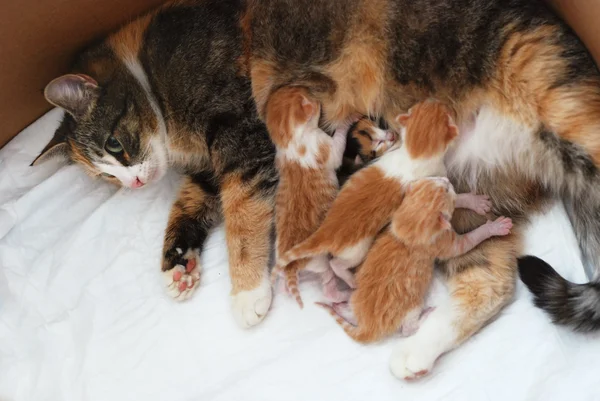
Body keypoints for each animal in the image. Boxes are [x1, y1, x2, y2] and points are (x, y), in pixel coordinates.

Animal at [266, 86, 352, 306]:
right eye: (309, 97)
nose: (317, 100)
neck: (290, 143)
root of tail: (290, 267)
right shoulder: (323, 144)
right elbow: (338, 145)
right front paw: (347, 121)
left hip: (281, 266)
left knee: (283, 282)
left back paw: (285, 288)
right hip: (321, 263)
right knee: (329, 283)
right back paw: (344, 295)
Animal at [316, 178, 512, 344]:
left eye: (434, 180)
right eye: (446, 189)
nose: (447, 179)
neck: (408, 225)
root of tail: (367, 328)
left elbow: (458, 200)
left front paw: (473, 201)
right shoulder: (441, 242)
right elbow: (466, 242)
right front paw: (493, 227)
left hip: (356, 298)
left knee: (347, 305)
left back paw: (339, 302)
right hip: (410, 308)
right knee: (407, 331)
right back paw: (424, 316)